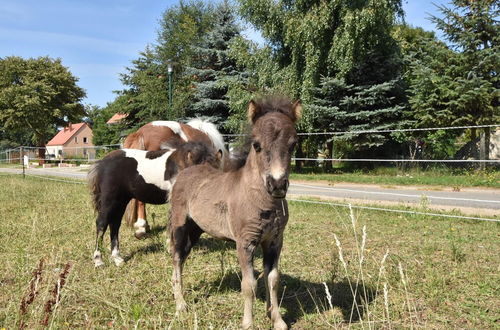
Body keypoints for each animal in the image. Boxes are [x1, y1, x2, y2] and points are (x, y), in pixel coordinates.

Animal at [87, 141, 219, 266]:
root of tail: (102, 163)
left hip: (121, 201)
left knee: (114, 224)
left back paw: (117, 258)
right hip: (109, 200)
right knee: (102, 224)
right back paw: (98, 260)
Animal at [168, 96, 300, 328]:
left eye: (293, 144)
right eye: (256, 145)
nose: (276, 185)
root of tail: (187, 170)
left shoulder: (274, 241)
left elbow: (273, 279)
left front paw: (277, 320)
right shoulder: (245, 242)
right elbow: (249, 285)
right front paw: (248, 324)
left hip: (195, 230)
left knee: (182, 257)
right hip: (180, 226)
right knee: (176, 259)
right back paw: (181, 305)